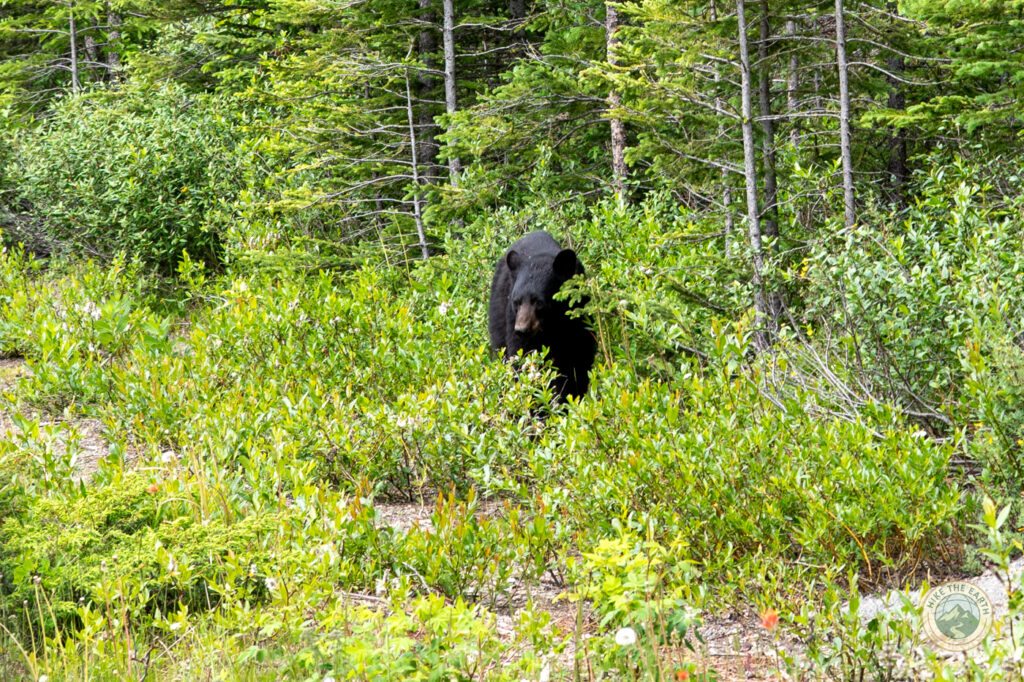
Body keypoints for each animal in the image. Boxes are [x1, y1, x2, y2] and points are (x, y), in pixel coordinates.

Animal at [488, 230, 596, 401]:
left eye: (538, 302)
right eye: (516, 301)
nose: (521, 329)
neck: (553, 324)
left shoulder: (579, 320)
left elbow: (578, 360)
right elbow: (522, 358)